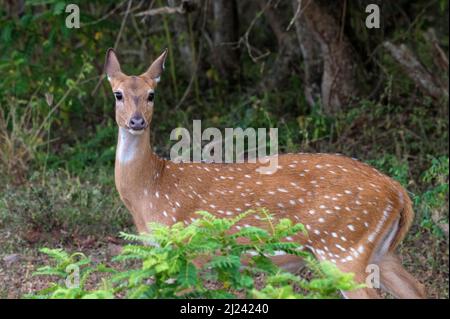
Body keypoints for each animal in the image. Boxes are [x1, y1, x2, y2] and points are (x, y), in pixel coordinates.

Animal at [104, 48, 426, 298]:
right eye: (118, 94)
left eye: (151, 95)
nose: (137, 121)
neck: (151, 190)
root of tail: (398, 192)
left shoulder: (189, 252)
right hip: (379, 251)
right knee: (417, 288)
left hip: (343, 247)